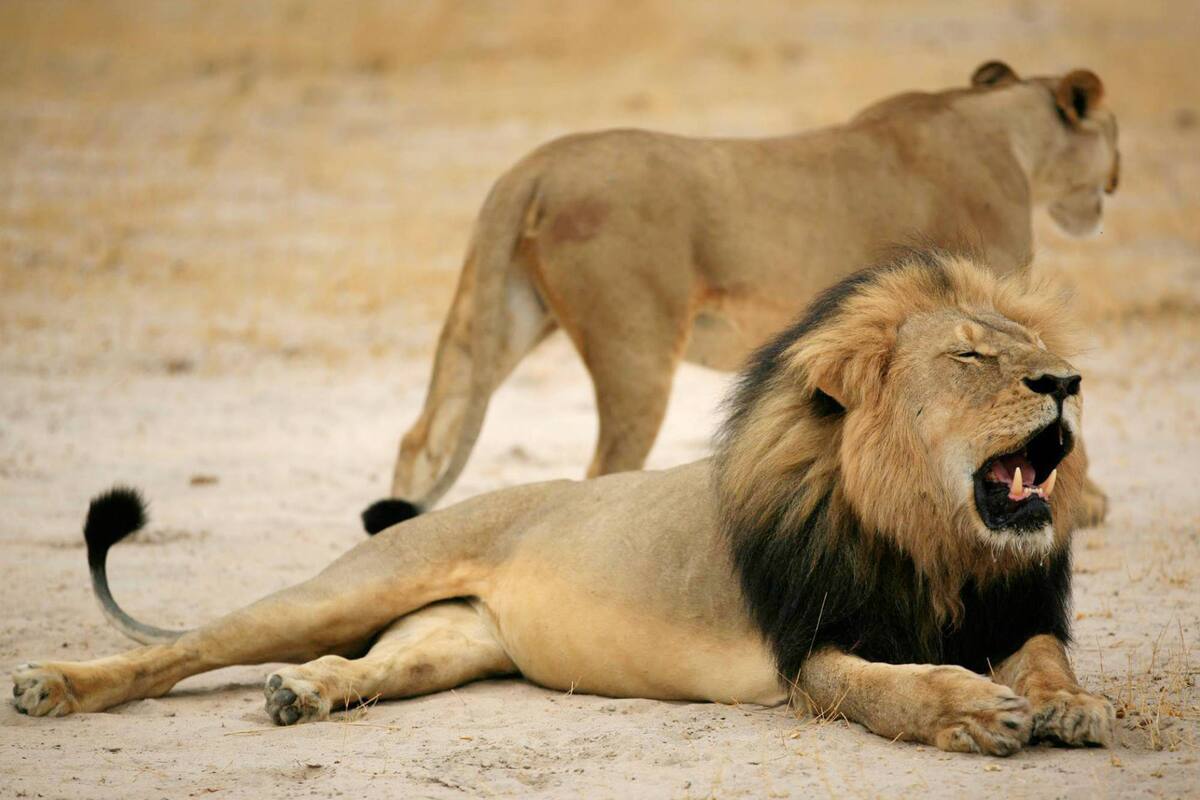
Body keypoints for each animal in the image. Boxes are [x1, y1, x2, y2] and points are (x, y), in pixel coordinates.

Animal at [13, 252, 1113, 756]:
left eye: (1031, 348)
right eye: (972, 357)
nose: (1068, 381)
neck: (935, 541)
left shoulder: (1013, 609)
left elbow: (1046, 657)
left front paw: (1071, 705)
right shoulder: (810, 649)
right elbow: (891, 687)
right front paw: (972, 709)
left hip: (448, 641)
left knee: (361, 665)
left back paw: (303, 694)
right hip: (348, 587)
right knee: (184, 649)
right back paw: (53, 686)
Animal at [366, 60, 1120, 532]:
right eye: (1112, 131)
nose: (1115, 180)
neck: (1009, 132)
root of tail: (534, 165)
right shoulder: (985, 300)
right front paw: (1082, 504)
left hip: (502, 317)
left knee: (422, 434)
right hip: (636, 348)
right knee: (604, 468)